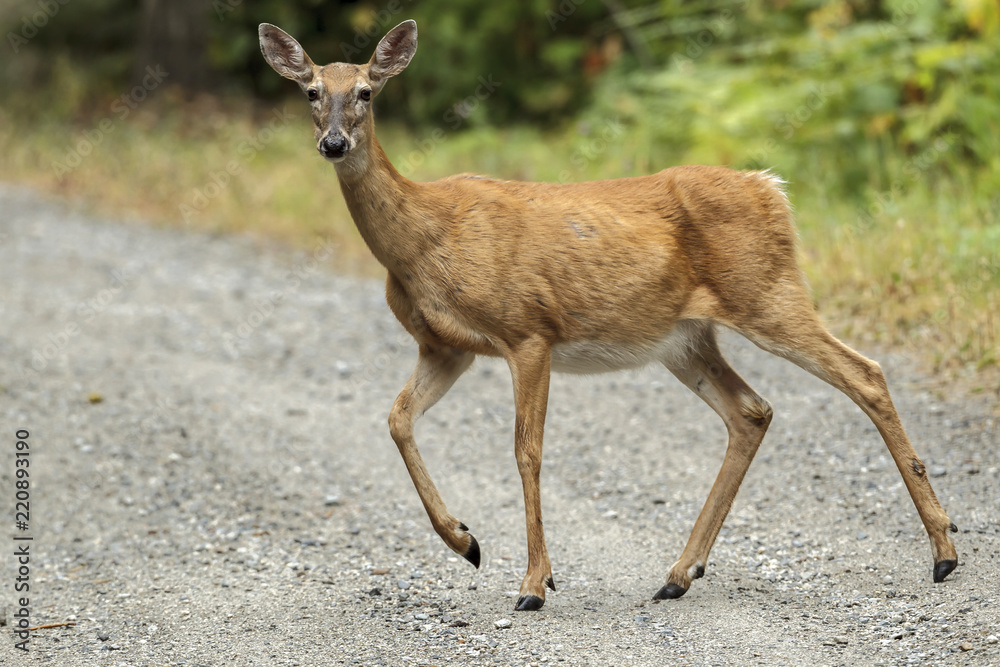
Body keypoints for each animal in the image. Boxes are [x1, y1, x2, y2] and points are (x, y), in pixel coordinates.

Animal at [260, 18, 960, 612]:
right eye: (312, 91)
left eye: (367, 92)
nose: (333, 142)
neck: (423, 241)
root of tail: (771, 188)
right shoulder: (447, 347)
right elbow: (397, 419)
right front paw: (466, 542)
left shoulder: (527, 330)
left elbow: (527, 450)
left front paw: (534, 584)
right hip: (685, 338)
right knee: (752, 411)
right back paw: (679, 574)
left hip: (768, 293)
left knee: (864, 373)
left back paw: (945, 552)